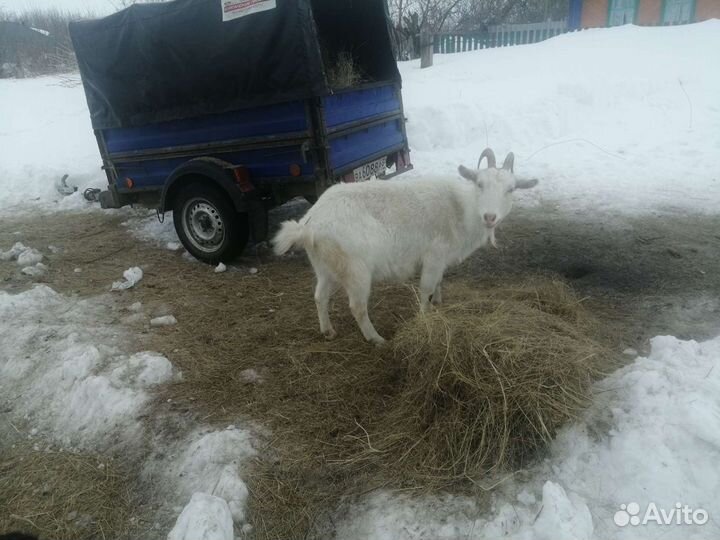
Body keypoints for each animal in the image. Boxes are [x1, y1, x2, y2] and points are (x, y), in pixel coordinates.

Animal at [273, 148, 538, 344]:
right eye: (480, 184)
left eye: (511, 189)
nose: (490, 217)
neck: (462, 208)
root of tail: (309, 225)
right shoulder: (434, 255)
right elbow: (426, 288)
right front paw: (425, 319)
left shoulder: (441, 260)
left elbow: (438, 283)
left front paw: (438, 303)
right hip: (355, 269)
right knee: (357, 306)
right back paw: (376, 339)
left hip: (326, 266)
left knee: (320, 296)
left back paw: (328, 331)